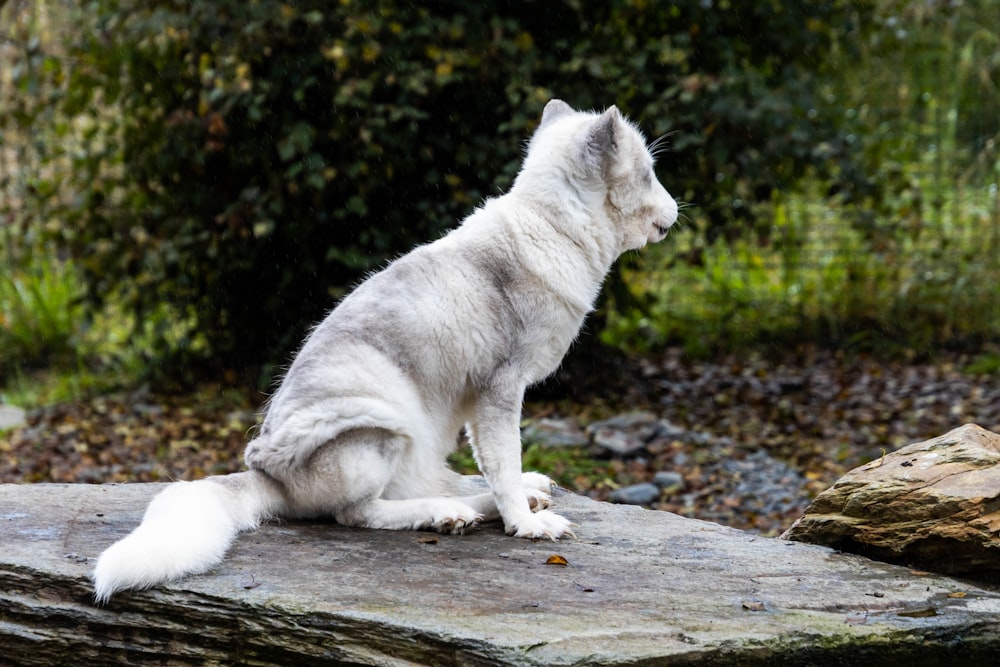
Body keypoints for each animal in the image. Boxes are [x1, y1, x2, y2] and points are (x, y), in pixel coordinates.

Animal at [92, 100, 680, 604]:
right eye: (650, 173)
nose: (677, 212)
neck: (554, 228)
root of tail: (267, 474)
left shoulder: (481, 403)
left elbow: (498, 468)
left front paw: (520, 500)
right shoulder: (500, 389)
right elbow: (502, 462)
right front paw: (525, 525)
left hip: (421, 432)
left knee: (438, 482)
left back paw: (486, 501)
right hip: (384, 423)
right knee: (358, 515)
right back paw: (449, 513)